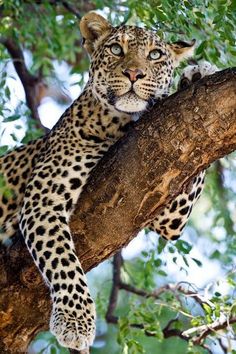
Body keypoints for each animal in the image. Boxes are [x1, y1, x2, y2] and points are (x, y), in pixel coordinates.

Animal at [0, 11, 217, 352]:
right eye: (116, 49)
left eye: (155, 55)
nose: (134, 73)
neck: (117, 123)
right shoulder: (43, 199)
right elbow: (63, 260)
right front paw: (76, 321)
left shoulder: (168, 202)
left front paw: (195, 75)